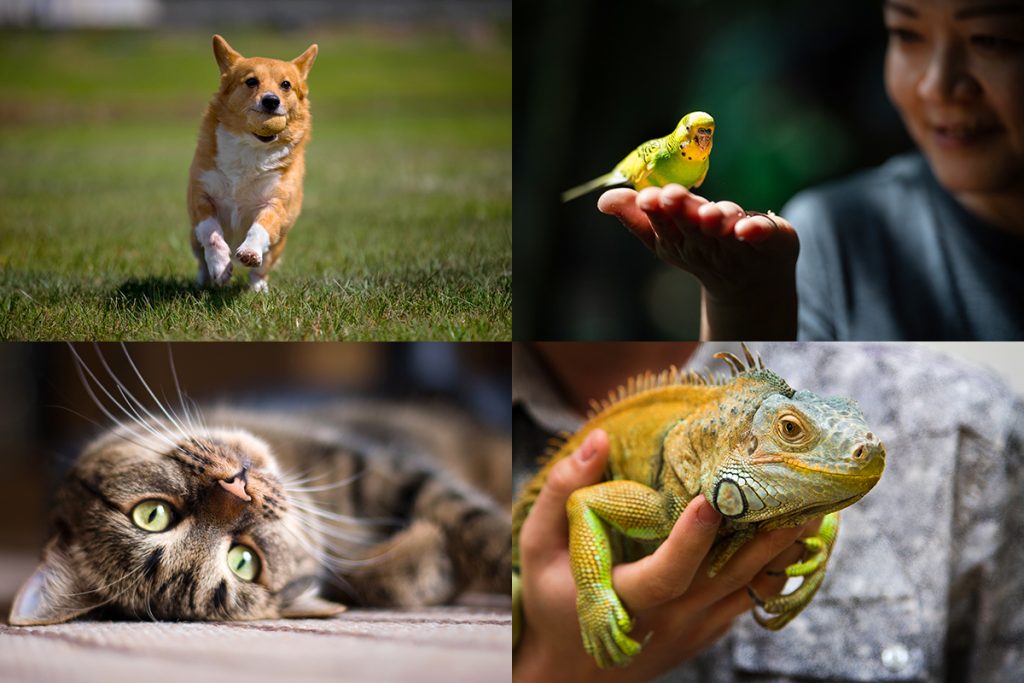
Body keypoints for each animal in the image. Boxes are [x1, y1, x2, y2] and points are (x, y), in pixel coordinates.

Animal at [188, 35, 315, 290]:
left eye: (286, 85)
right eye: (251, 81)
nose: (271, 101)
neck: (252, 148)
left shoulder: (276, 203)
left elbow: (260, 228)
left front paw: (249, 252)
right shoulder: (200, 196)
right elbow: (211, 232)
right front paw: (220, 265)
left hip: (277, 246)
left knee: (261, 269)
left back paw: (258, 288)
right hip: (192, 241)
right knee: (201, 260)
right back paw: (205, 280)